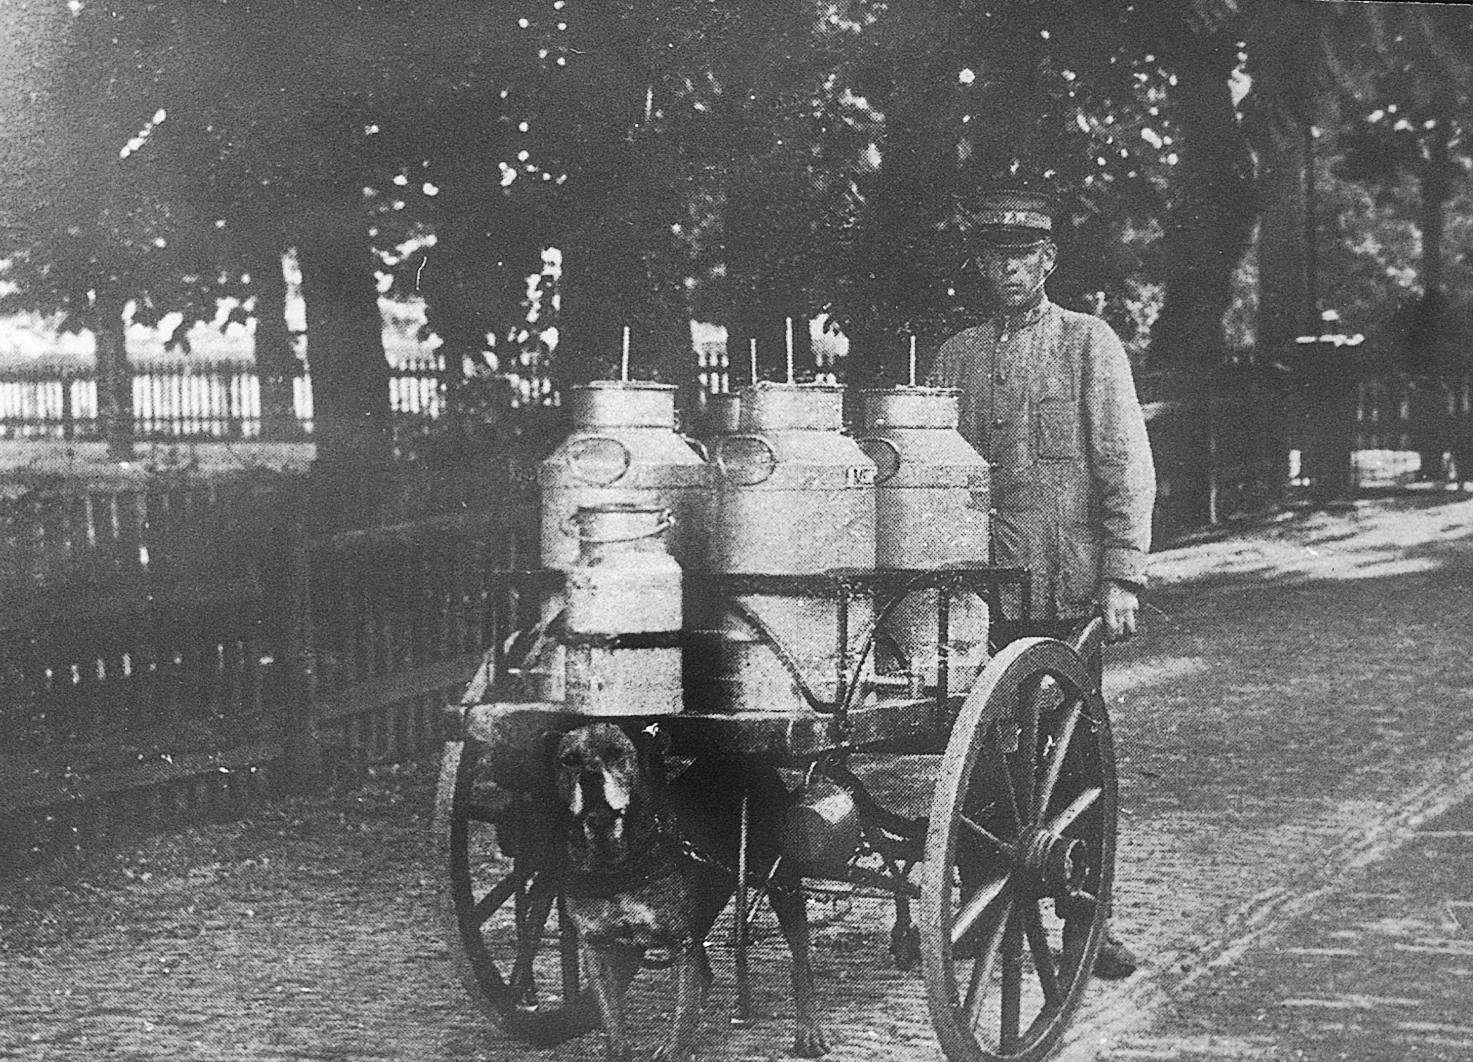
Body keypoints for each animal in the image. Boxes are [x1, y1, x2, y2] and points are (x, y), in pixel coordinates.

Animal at [553, 721, 830, 1060]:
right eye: (568, 760)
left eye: (616, 753)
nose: (590, 778)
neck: (613, 858)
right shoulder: (597, 946)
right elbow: (611, 1019)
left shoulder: (681, 942)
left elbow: (683, 1009)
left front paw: (676, 1046)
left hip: (783, 883)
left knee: (800, 962)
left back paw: (808, 1031)